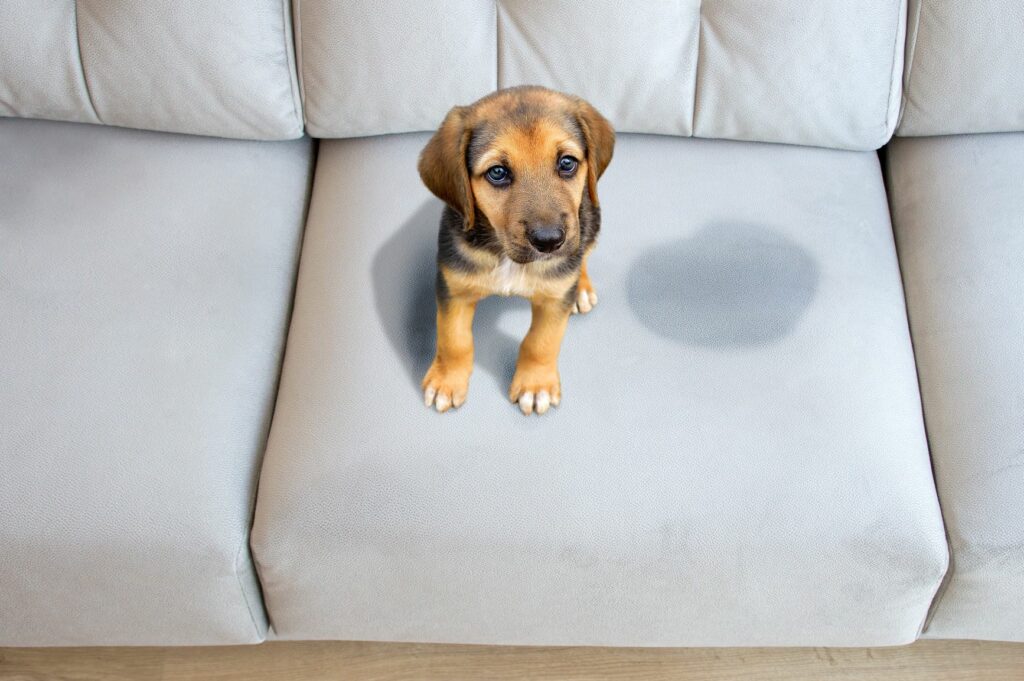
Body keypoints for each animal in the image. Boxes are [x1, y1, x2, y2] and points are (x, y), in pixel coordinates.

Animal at [417, 84, 610, 413]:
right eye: (497, 172)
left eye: (567, 163)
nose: (549, 241)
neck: (507, 256)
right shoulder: (453, 288)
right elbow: (453, 340)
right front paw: (447, 380)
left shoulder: (553, 298)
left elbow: (541, 342)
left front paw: (535, 384)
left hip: (590, 220)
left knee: (583, 252)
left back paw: (581, 288)